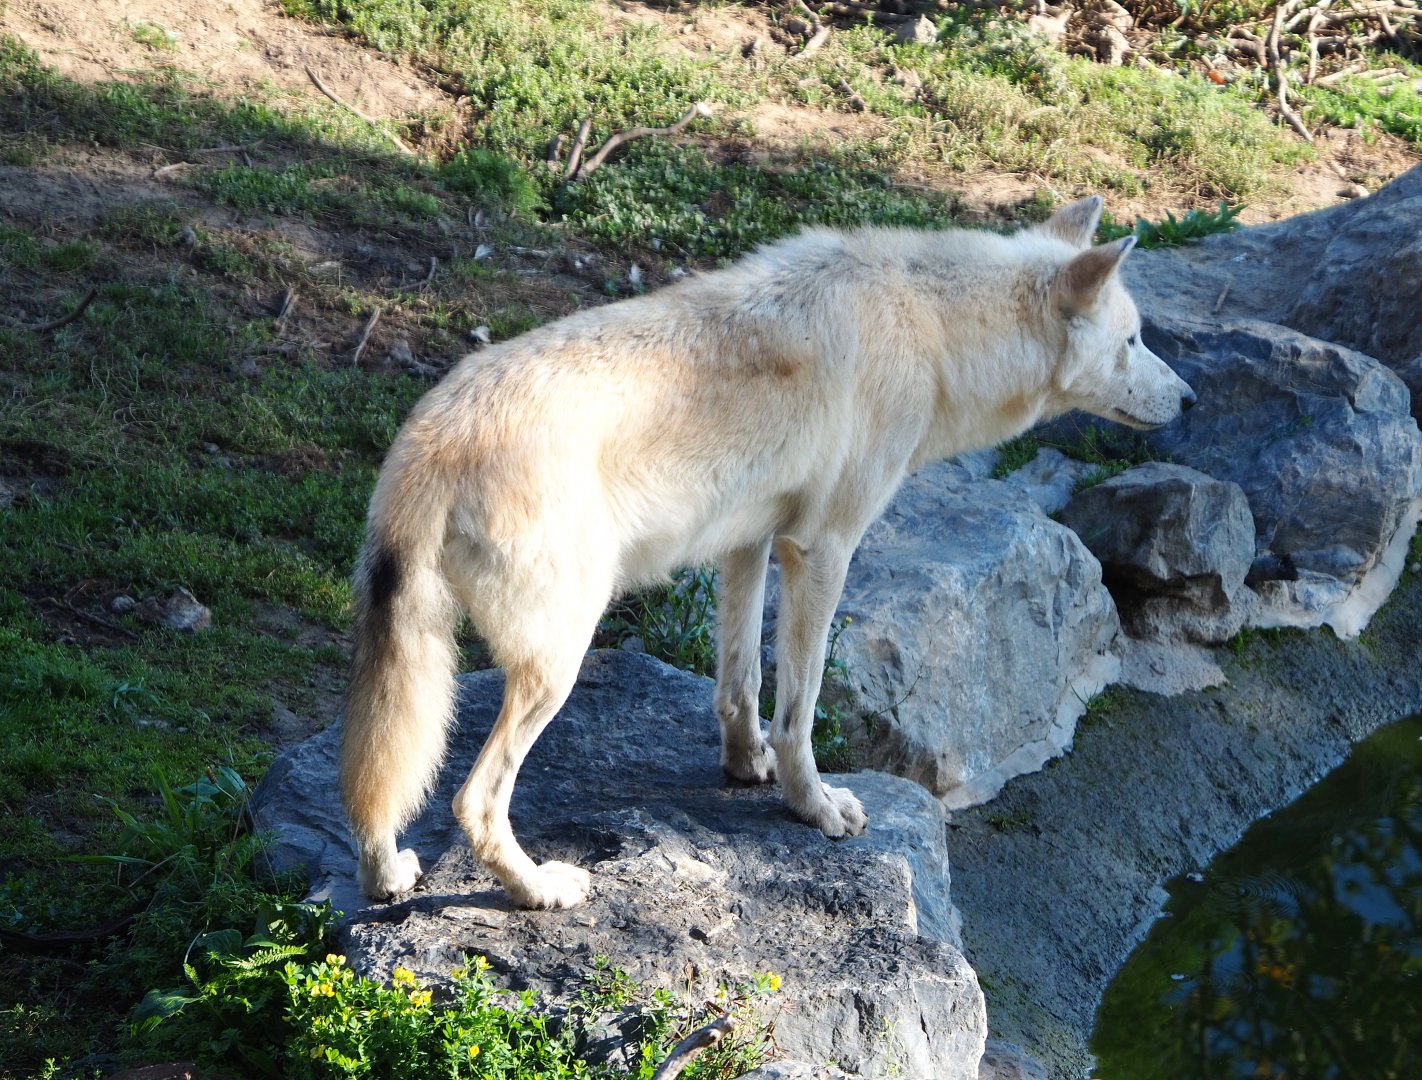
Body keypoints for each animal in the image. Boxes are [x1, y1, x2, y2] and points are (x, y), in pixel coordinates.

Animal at [342, 195, 1195, 909]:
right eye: (1133, 341)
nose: (1189, 398)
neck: (930, 327)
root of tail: (431, 438)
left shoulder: (747, 541)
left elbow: (741, 682)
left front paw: (744, 766)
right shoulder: (822, 550)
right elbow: (802, 709)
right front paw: (814, 807)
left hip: (426, 661)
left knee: (373, 782)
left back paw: (387, 876)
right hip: (559, 663)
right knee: (471, 801)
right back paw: (540, 891)